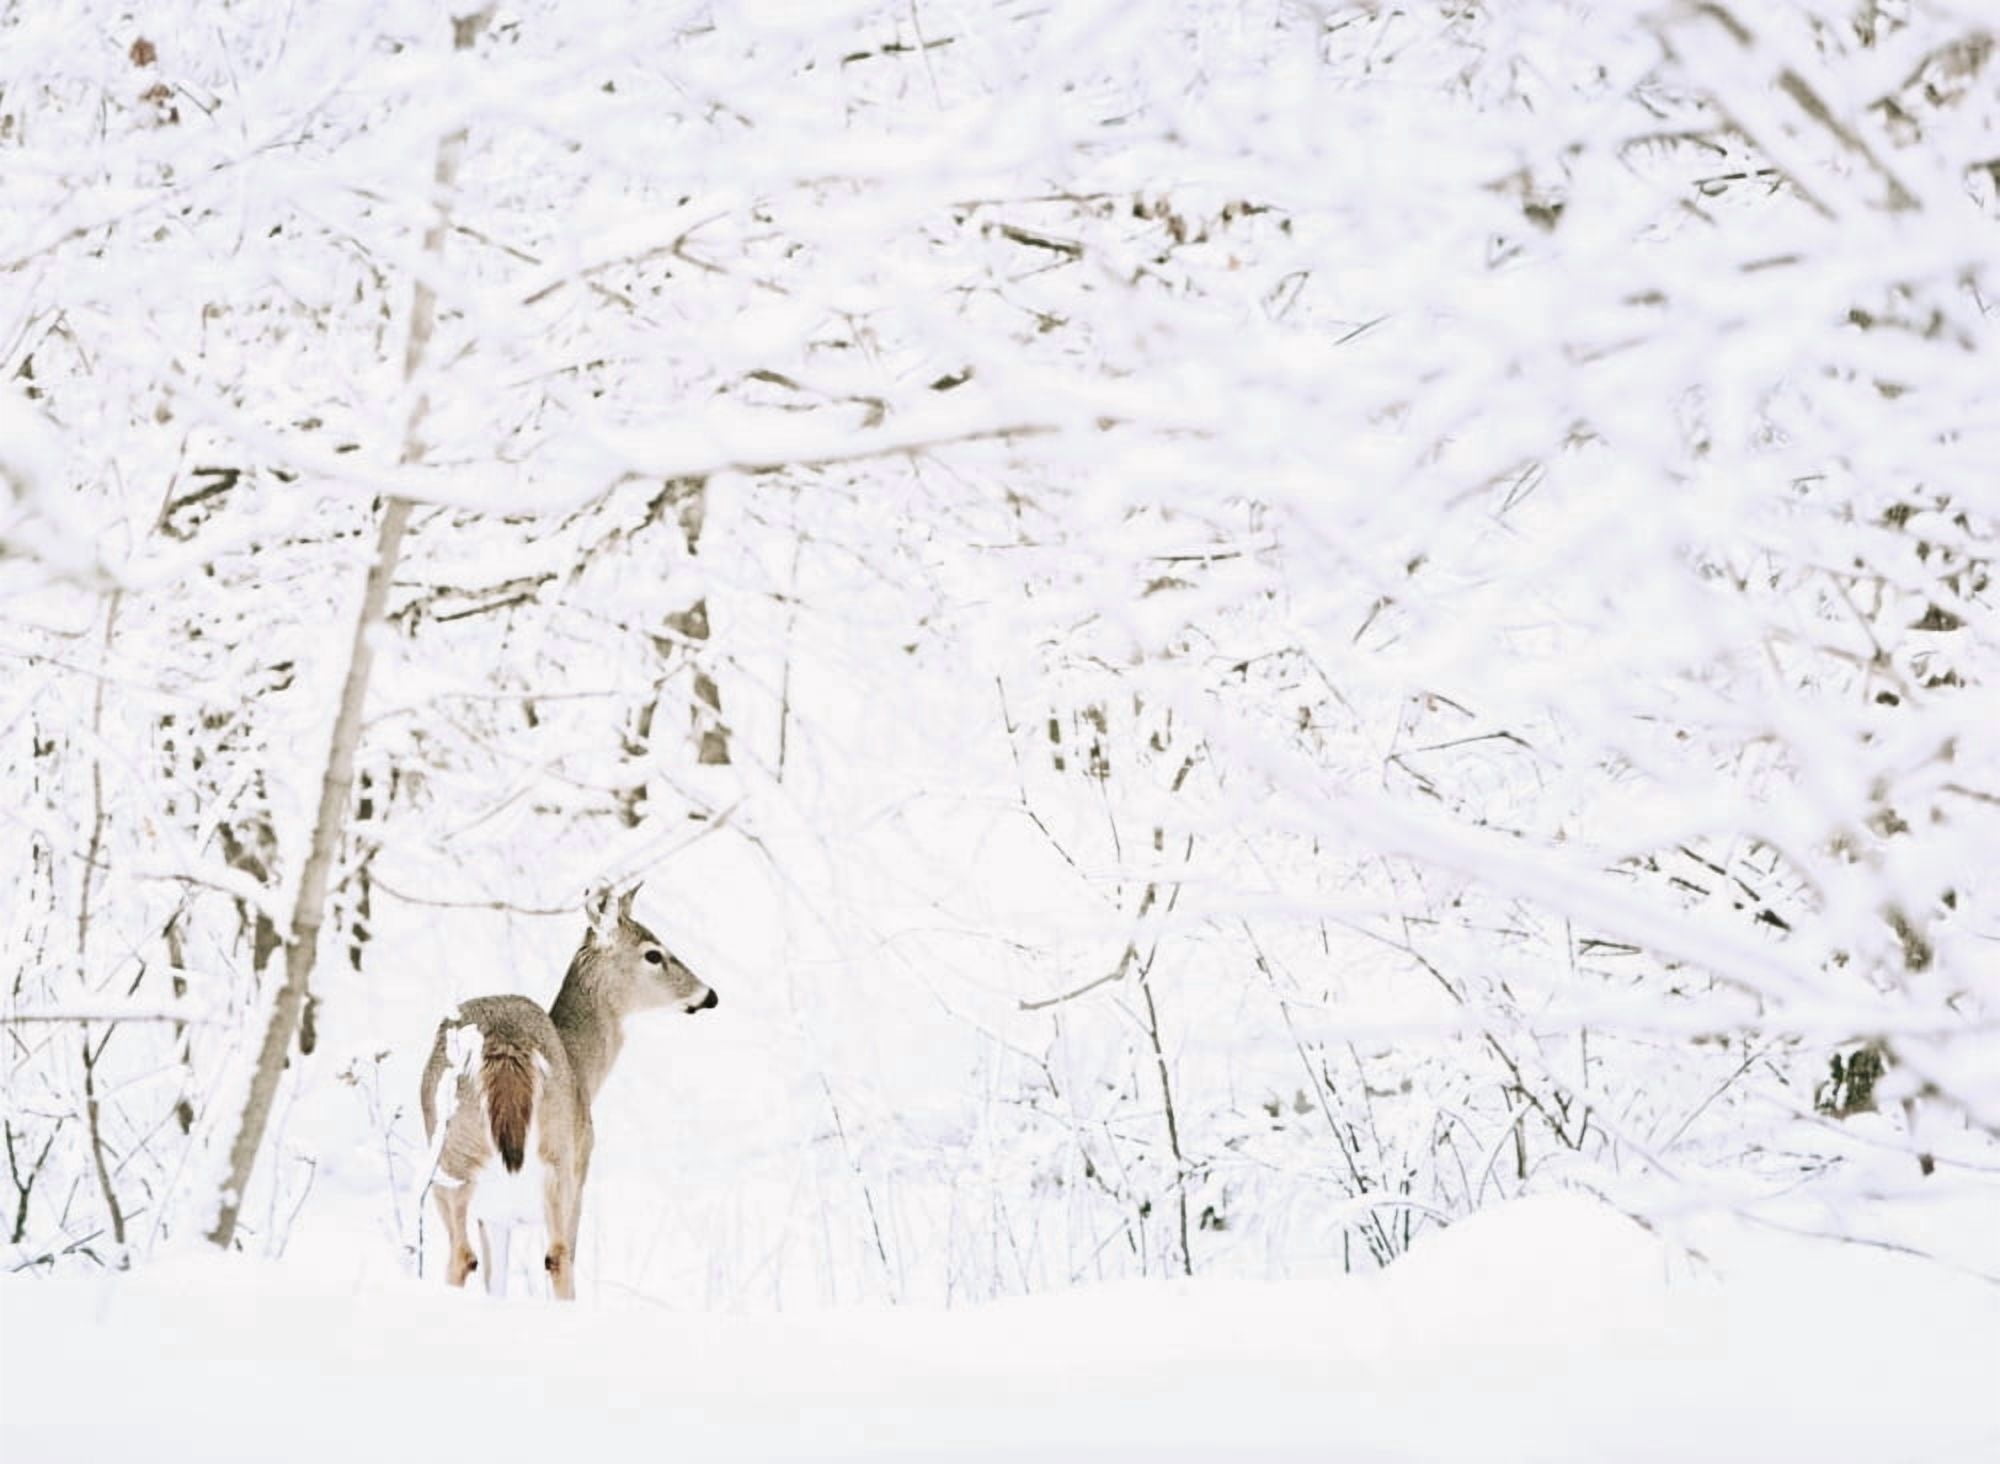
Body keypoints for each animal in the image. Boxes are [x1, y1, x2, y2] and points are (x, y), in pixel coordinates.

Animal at [418, 883, 717, 1300]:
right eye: (653, 954)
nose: (709, 995)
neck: (581, 1066)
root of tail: (504, 1044)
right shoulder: (582, 1166)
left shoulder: (496, 1214)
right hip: (557, 1159)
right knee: (557, 1255)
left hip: (451, 1161)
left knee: (462, 1256)